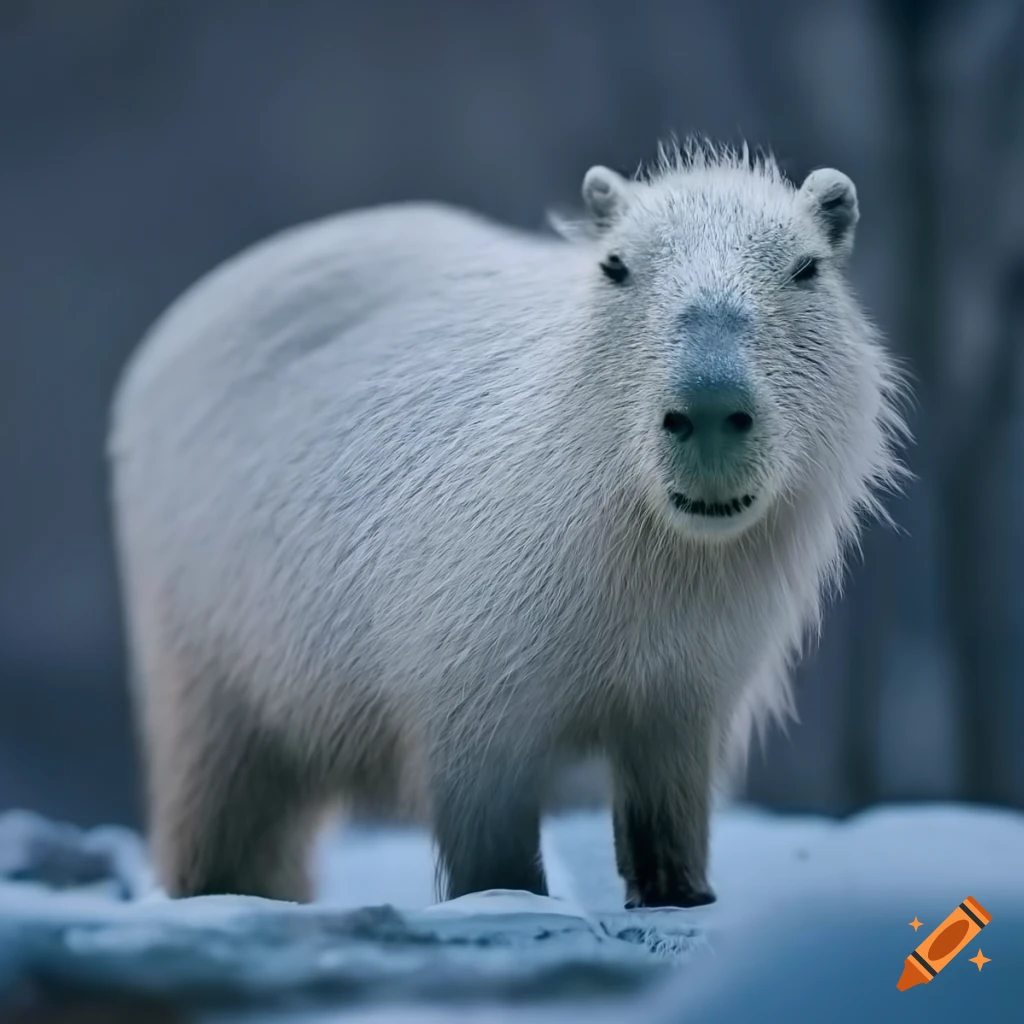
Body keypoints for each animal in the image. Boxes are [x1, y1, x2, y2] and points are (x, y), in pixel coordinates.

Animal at [107, 138, 907, 909]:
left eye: (805, 268)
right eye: (617, 266)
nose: (708, 411)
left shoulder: (693, 668)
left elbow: (667, 783)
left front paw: (680, 891)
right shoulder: (471, 641)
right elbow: (483, 805)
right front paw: (507, 896)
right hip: (204, 632)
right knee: (218, 786)